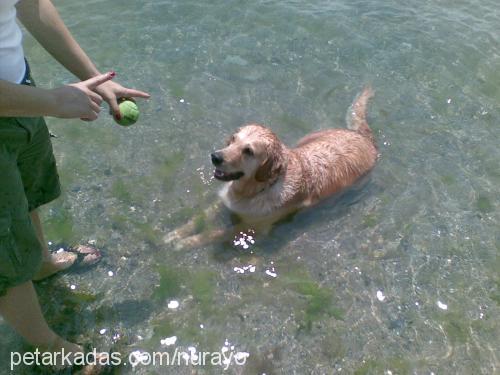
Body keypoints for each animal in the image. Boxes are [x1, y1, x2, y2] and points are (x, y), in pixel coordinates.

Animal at [166, 87, 376, 251]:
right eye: (233, 139)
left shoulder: (253, 228)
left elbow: (216, 232)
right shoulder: (224, 199)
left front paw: (188, 242)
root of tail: (363, 137)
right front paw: (174, 234)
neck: (251, 190)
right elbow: (197, 218)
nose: (215, 157)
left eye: (248, 151)